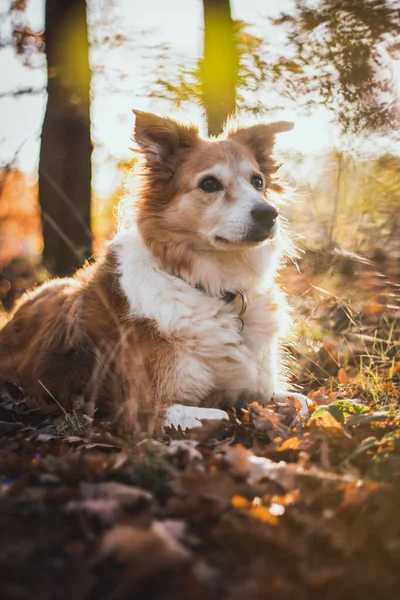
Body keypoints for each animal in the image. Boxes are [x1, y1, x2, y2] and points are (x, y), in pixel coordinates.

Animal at [0, 110, 310, 434]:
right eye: (210, 183)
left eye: (257, 181)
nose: (268, 214)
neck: (210, 286)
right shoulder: (143, 410)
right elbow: (223, 416)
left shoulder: (265, 387)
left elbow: (303, 401)